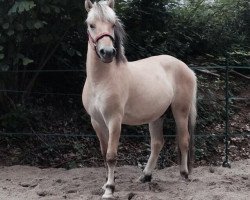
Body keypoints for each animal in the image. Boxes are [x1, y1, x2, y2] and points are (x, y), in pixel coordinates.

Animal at [82, 0, 197, 199]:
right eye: (91, 25)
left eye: (113, 24)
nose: (107, 52)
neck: (101, 80)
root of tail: (187, 68)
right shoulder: (96, 121)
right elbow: (104, 154)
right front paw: (105, 185)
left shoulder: (114, 120)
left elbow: (111, 155)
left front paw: (110, 189)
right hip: (157, 115)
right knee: (157, 143)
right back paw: (145, 176)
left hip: (180, 112)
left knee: (183, 140)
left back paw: (184, 175)